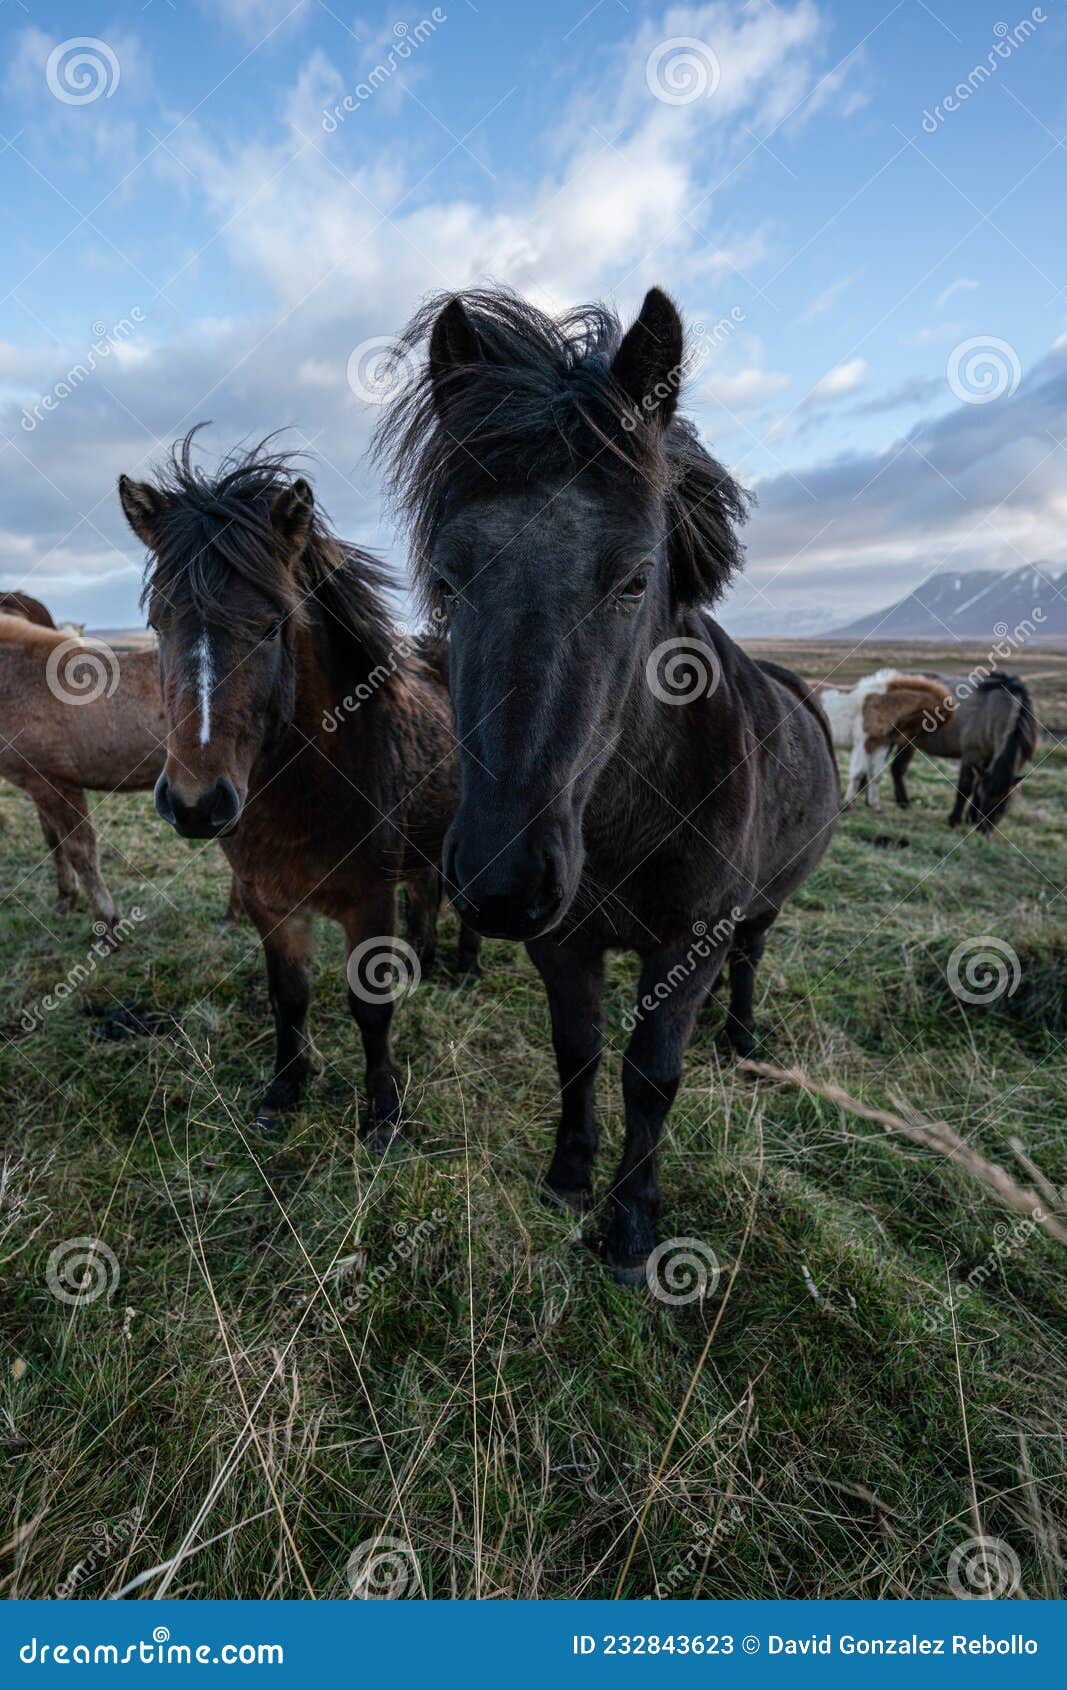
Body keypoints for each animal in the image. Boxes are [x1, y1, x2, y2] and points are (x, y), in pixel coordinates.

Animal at [119, 438, 479, 1143]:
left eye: (270, 626)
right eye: (156, 622)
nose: (197, 804)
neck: (303, 800)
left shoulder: (368, 902)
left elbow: (370, 1007)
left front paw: (383, 1112)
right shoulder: (271, 903)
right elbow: (288, 996)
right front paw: (285, 1090)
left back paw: (466, 971)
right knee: (426, 892)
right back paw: (426, 963)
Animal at [375, 285, 839, 1281]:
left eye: (633, 579)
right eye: (447, 578)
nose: (502, 878)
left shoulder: (689, 943)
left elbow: (649, 1076)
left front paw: (631, 1227)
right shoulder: (563, 941)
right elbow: (579, 1054)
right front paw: (567, 1181)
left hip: (759, 910)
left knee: (751, 959)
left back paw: (740, 1040)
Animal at [815, 668, 953, 807]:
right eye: (931, 721)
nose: (903, 739)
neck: (881, 704)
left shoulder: (882, 744)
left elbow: (876, 775)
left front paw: (875, 805)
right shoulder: (863, 743)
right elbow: (857, 774)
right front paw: (848, 803)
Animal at [889, 672, 1037, 832]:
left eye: (1005, 802)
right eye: (984, 797)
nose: (983, 830)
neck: (996, 708)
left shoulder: (987, 760)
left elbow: (977, 785)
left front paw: (971, 818)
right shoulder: (971, 755)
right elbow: (965, 787)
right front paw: (955, 820)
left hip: (907, 743)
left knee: (897, 768)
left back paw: (903, 804)